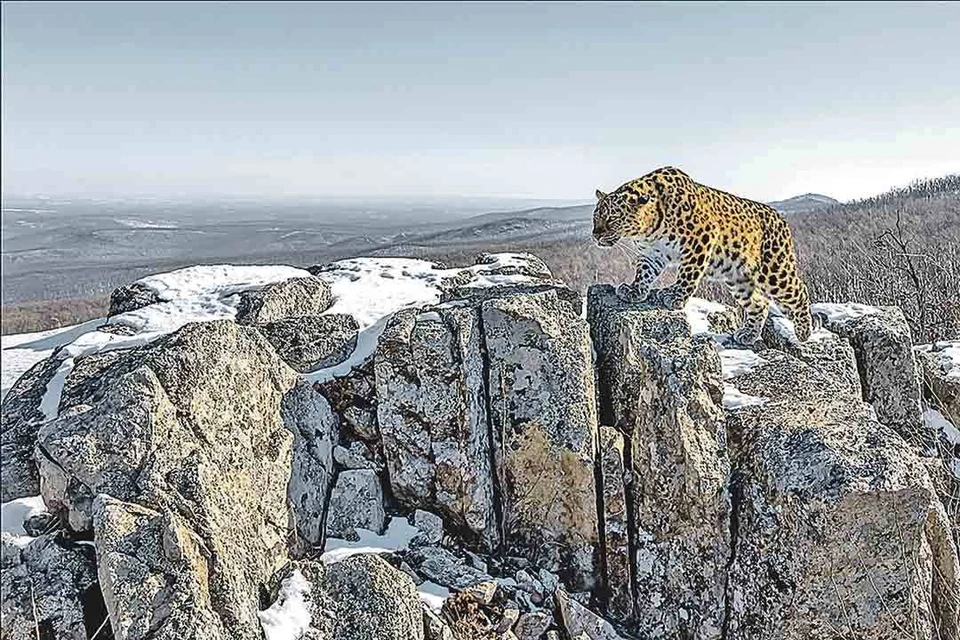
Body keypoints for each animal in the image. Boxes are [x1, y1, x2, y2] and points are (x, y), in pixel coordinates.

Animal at [592, 165, 808, 344]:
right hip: (738, 277)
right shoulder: (652, 253)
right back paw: (748, 334)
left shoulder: (701, 238)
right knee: (760, 304)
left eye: (612, 218)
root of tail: (780, 218)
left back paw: (804, 331)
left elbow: (688, 273)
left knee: (799, 290)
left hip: (774, 271)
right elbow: (644, 273)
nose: (595, 235)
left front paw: (675, 296)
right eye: (595, 217)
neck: (648, 230)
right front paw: (635, 290)